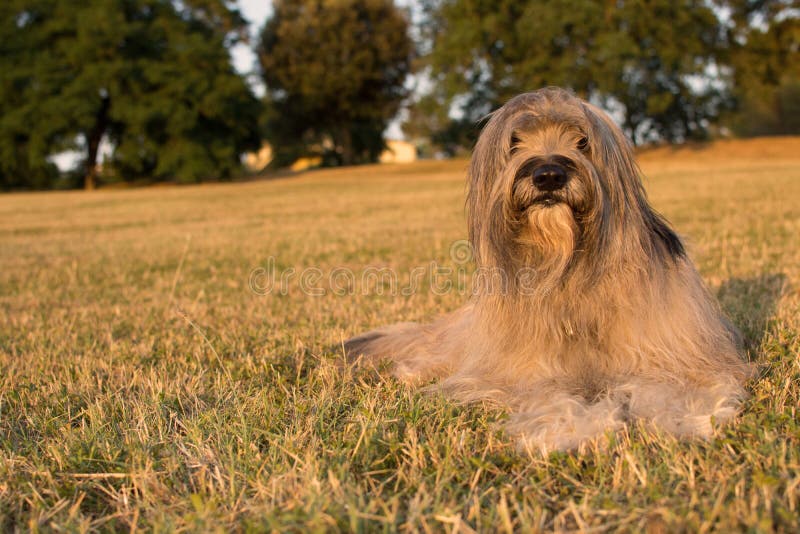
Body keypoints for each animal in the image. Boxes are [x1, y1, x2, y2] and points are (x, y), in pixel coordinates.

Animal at [344, 89, 752, 456]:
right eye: (514, 142)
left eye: (583, 140)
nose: (549, 175)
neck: (566, 267)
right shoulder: (526, 371)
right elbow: (549, 394)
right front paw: (572, 429)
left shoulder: (673, 354)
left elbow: (676, 385)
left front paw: (686, 420)